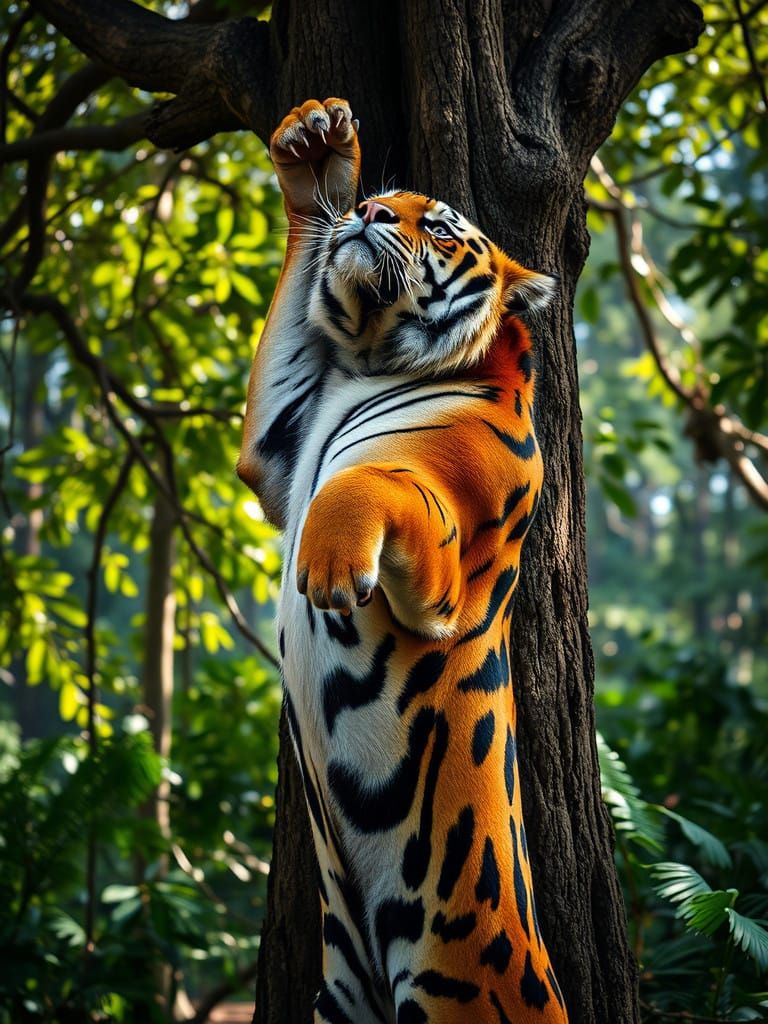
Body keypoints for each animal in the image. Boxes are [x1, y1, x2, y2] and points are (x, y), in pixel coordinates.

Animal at [237, 98, 569, 1024]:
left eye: (443, 225)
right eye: (380, 199)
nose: (371, 212)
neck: (369, 360)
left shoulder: (447, 568)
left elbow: (375, 480)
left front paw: (327, 566)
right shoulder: (274, 451)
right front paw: (315, 147)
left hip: (451, 988)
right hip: (342, 994)